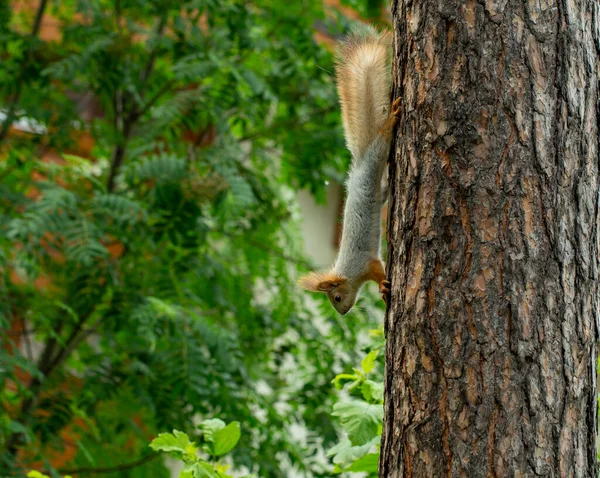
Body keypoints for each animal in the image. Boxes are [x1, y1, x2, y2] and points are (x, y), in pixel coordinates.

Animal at [298, 28, 400, 316]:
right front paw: (383, 290)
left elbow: (379, 270)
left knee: (381, 140)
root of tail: (360, 162)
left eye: (336, 297)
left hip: (376, 157)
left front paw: (383, 286)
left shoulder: (365, 262)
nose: (343, 313)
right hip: (379, 188)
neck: (348, 273)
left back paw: (390, 121)